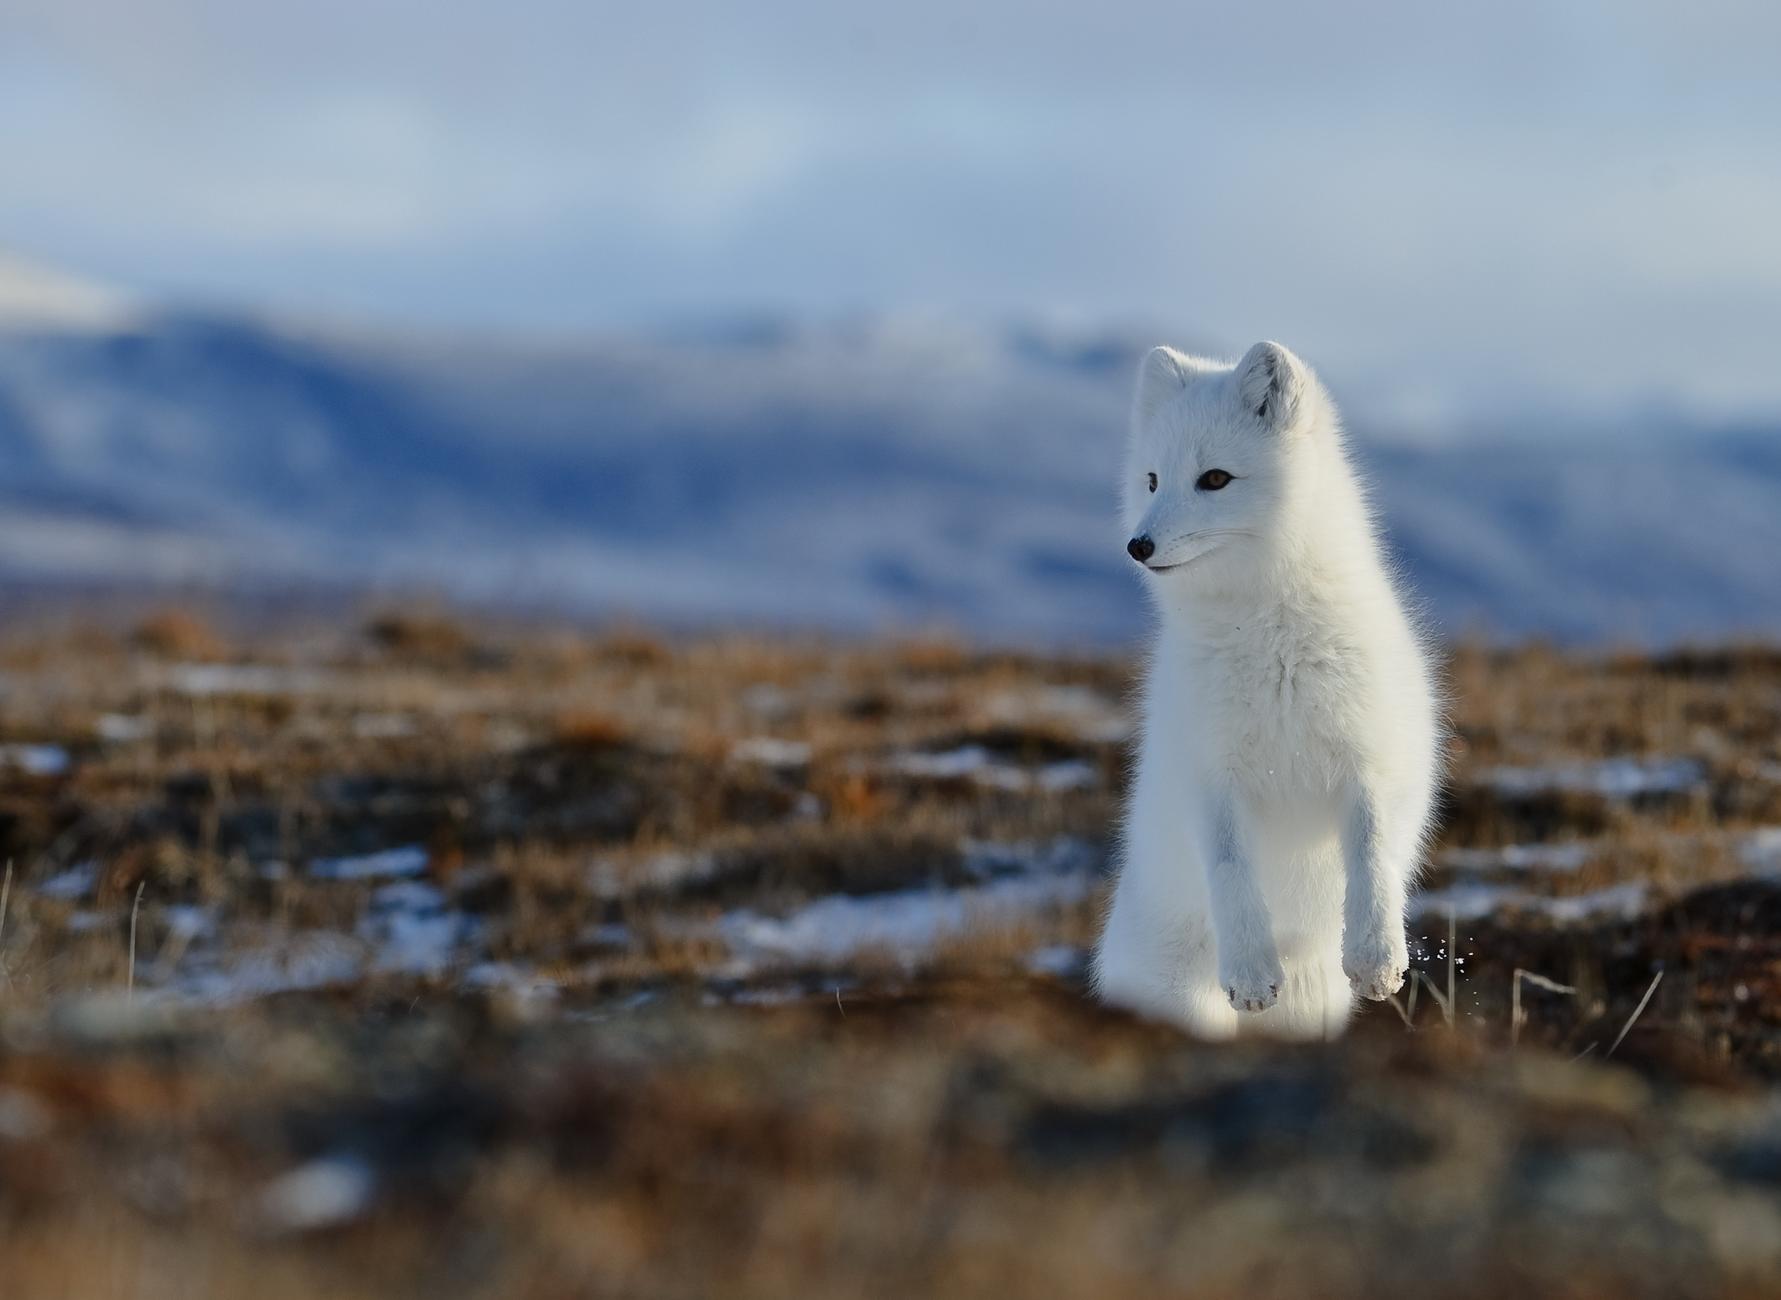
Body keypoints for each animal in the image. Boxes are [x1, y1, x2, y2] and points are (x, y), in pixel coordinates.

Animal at [1089, 341, 1439, 1032]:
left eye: (1215, 479)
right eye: (1152, 480)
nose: (1138, 545)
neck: (1273, 643)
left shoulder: (1369, 758)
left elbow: (1372, 853)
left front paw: (1377, 958)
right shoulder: (1211, 773)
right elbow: (1230, 868)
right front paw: (1250, 974)